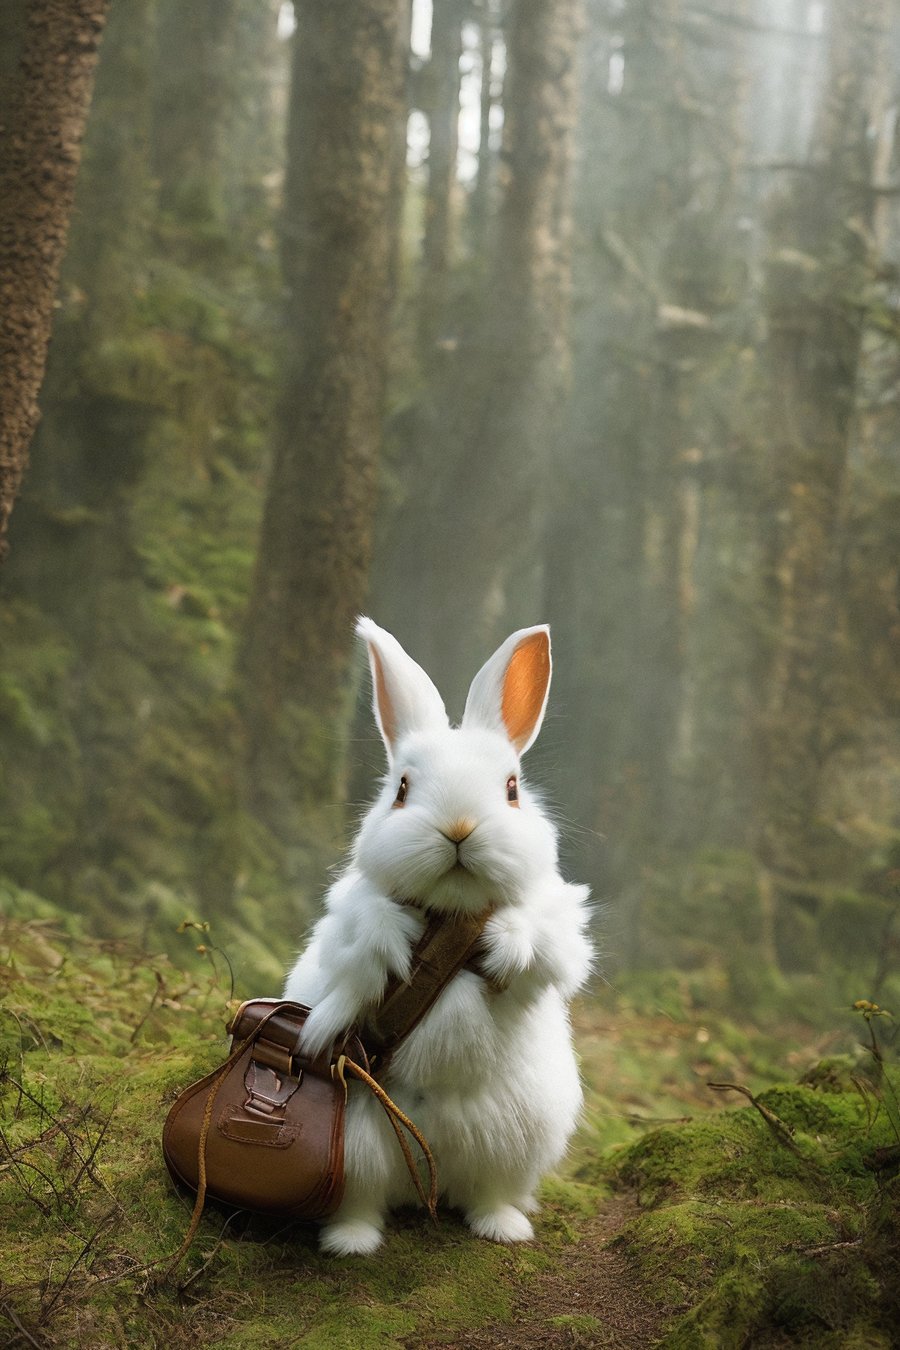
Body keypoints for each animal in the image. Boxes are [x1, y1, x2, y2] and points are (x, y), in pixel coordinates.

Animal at [283, 617, 594, 1256]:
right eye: (401, 788)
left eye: (511, 789)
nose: (459, 827)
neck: (451, 914)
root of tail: (427, 1179)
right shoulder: (346, 926)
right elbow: (365, 937)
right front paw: (399, 939)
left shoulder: (558, 927)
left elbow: (546, 947)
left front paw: (501, 946)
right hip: (354, 1147)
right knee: (363, 1200)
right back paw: (352, 1242)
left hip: (518, 1139)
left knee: (487, 1192)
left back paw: (504, 1227)